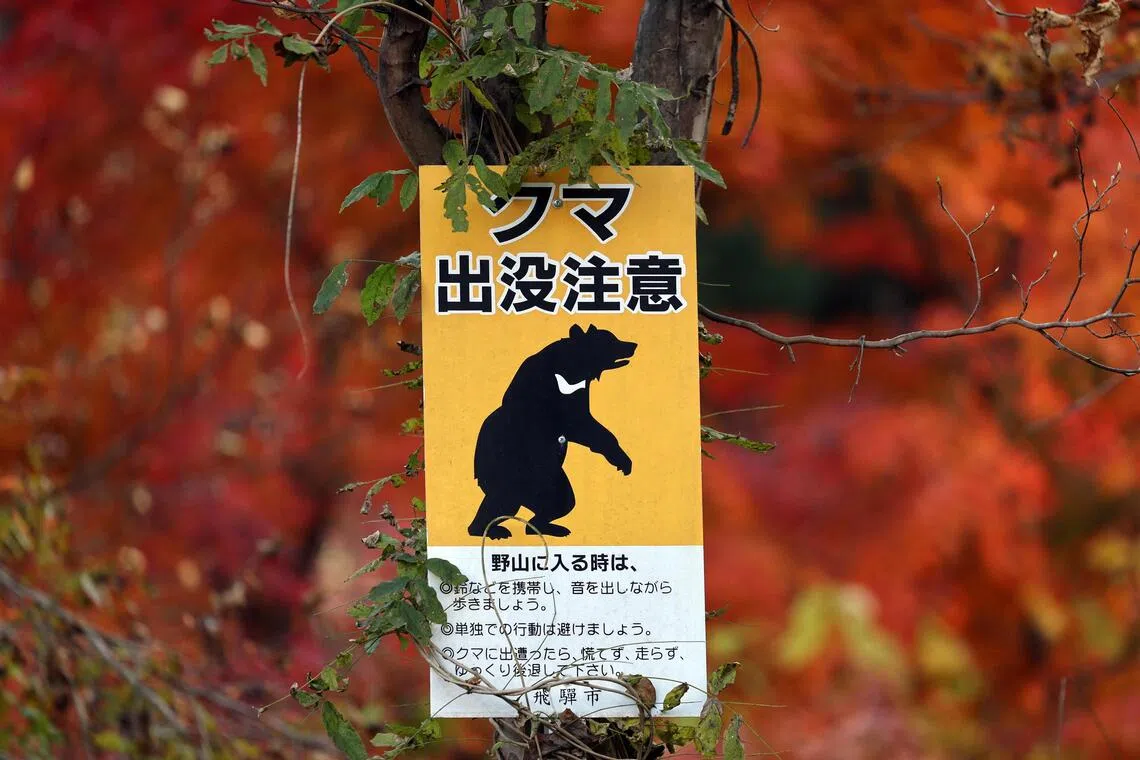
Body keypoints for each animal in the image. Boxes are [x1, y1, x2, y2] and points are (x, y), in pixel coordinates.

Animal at [466, 324, 637, 539]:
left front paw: (622, 460)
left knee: (559, 500)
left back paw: (545, 527)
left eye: (614, 337)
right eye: (609, 340)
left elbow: (586, 428)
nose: (633, 344)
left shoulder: (577, 394)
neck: (570, 373)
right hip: (506, 469)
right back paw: (491, 530)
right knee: (505, 498)